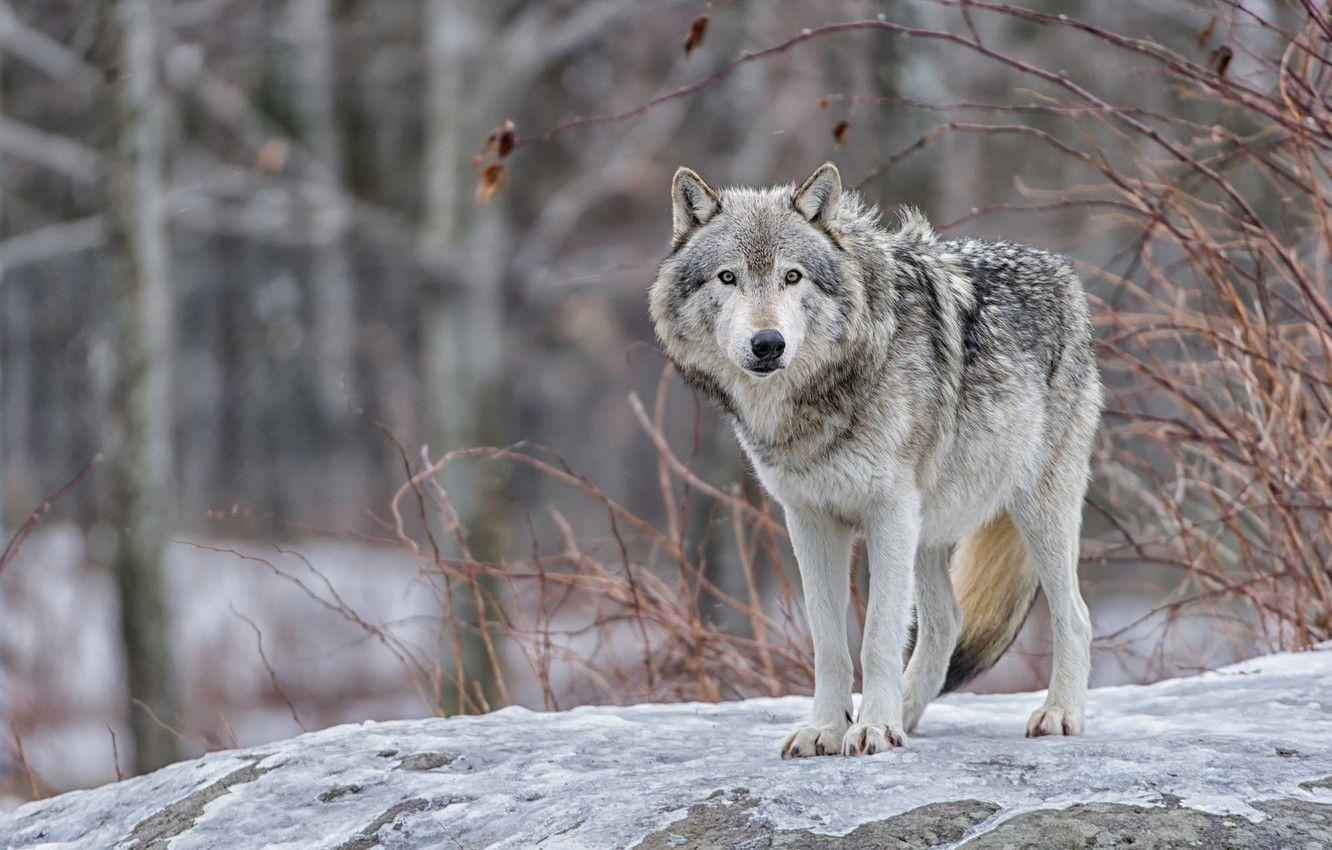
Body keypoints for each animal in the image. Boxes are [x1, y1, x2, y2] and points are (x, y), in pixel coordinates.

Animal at [649, 163, 1101, 757]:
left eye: (792, 277)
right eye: (728, 278)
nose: (768, 344)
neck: (818, 402)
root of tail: (1061, 268)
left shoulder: (888, 513)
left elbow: (878, 638)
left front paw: (874, 728)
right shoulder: (810, 520)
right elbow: (830, 644)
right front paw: (828, 728)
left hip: (1034, 512)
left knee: (1075, 615)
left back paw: (1060, 713)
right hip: (929, 532)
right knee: (947, 623)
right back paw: (908, 712)